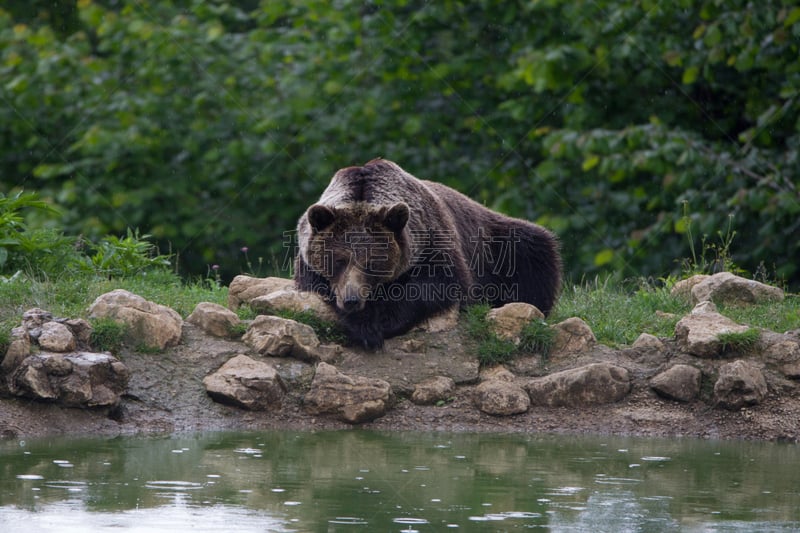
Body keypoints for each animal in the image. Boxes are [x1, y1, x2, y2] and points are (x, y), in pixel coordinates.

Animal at [294, 158, 564, 350]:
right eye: (338, 260)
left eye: (372, 262)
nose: (352, 299)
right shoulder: (308, 260)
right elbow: (317, 284)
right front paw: (364, 326)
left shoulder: (433, 239)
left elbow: (438, 285)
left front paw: (380, 323)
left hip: (497, 242)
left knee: (534, 251)